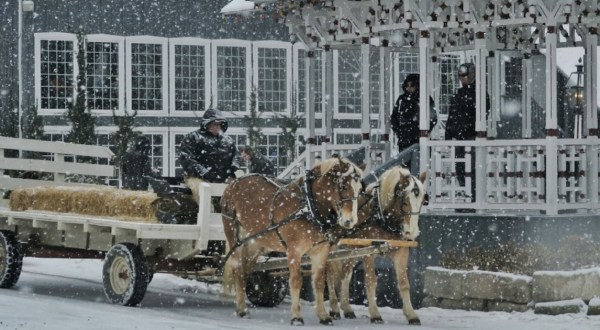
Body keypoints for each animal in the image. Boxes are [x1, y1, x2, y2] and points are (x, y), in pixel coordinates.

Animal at [219, 157, 360, 324]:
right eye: (343, 186)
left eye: (360, 189)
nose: (350, 221)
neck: (309, 206)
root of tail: (232, 184)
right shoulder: (294, 251)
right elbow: (296, 281)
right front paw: (297, 317)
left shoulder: (321, 252)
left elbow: (319, 282)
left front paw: (323, 315)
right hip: (235, 237)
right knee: (238, 270)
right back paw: (241, 309)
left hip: (255, 244)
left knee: (245, 271)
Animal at [328, 168, 426, 324]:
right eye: (404, 200)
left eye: (423, 200)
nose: (412, 232)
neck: (382, 216)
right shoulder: (369, 252)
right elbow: (371, 281)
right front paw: (375, 314)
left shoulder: (402, 251)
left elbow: (404, 283)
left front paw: (411, 314)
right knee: (329, 274)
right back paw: (334, 308)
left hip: (354, 248)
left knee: (345, 272)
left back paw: (347, 308)